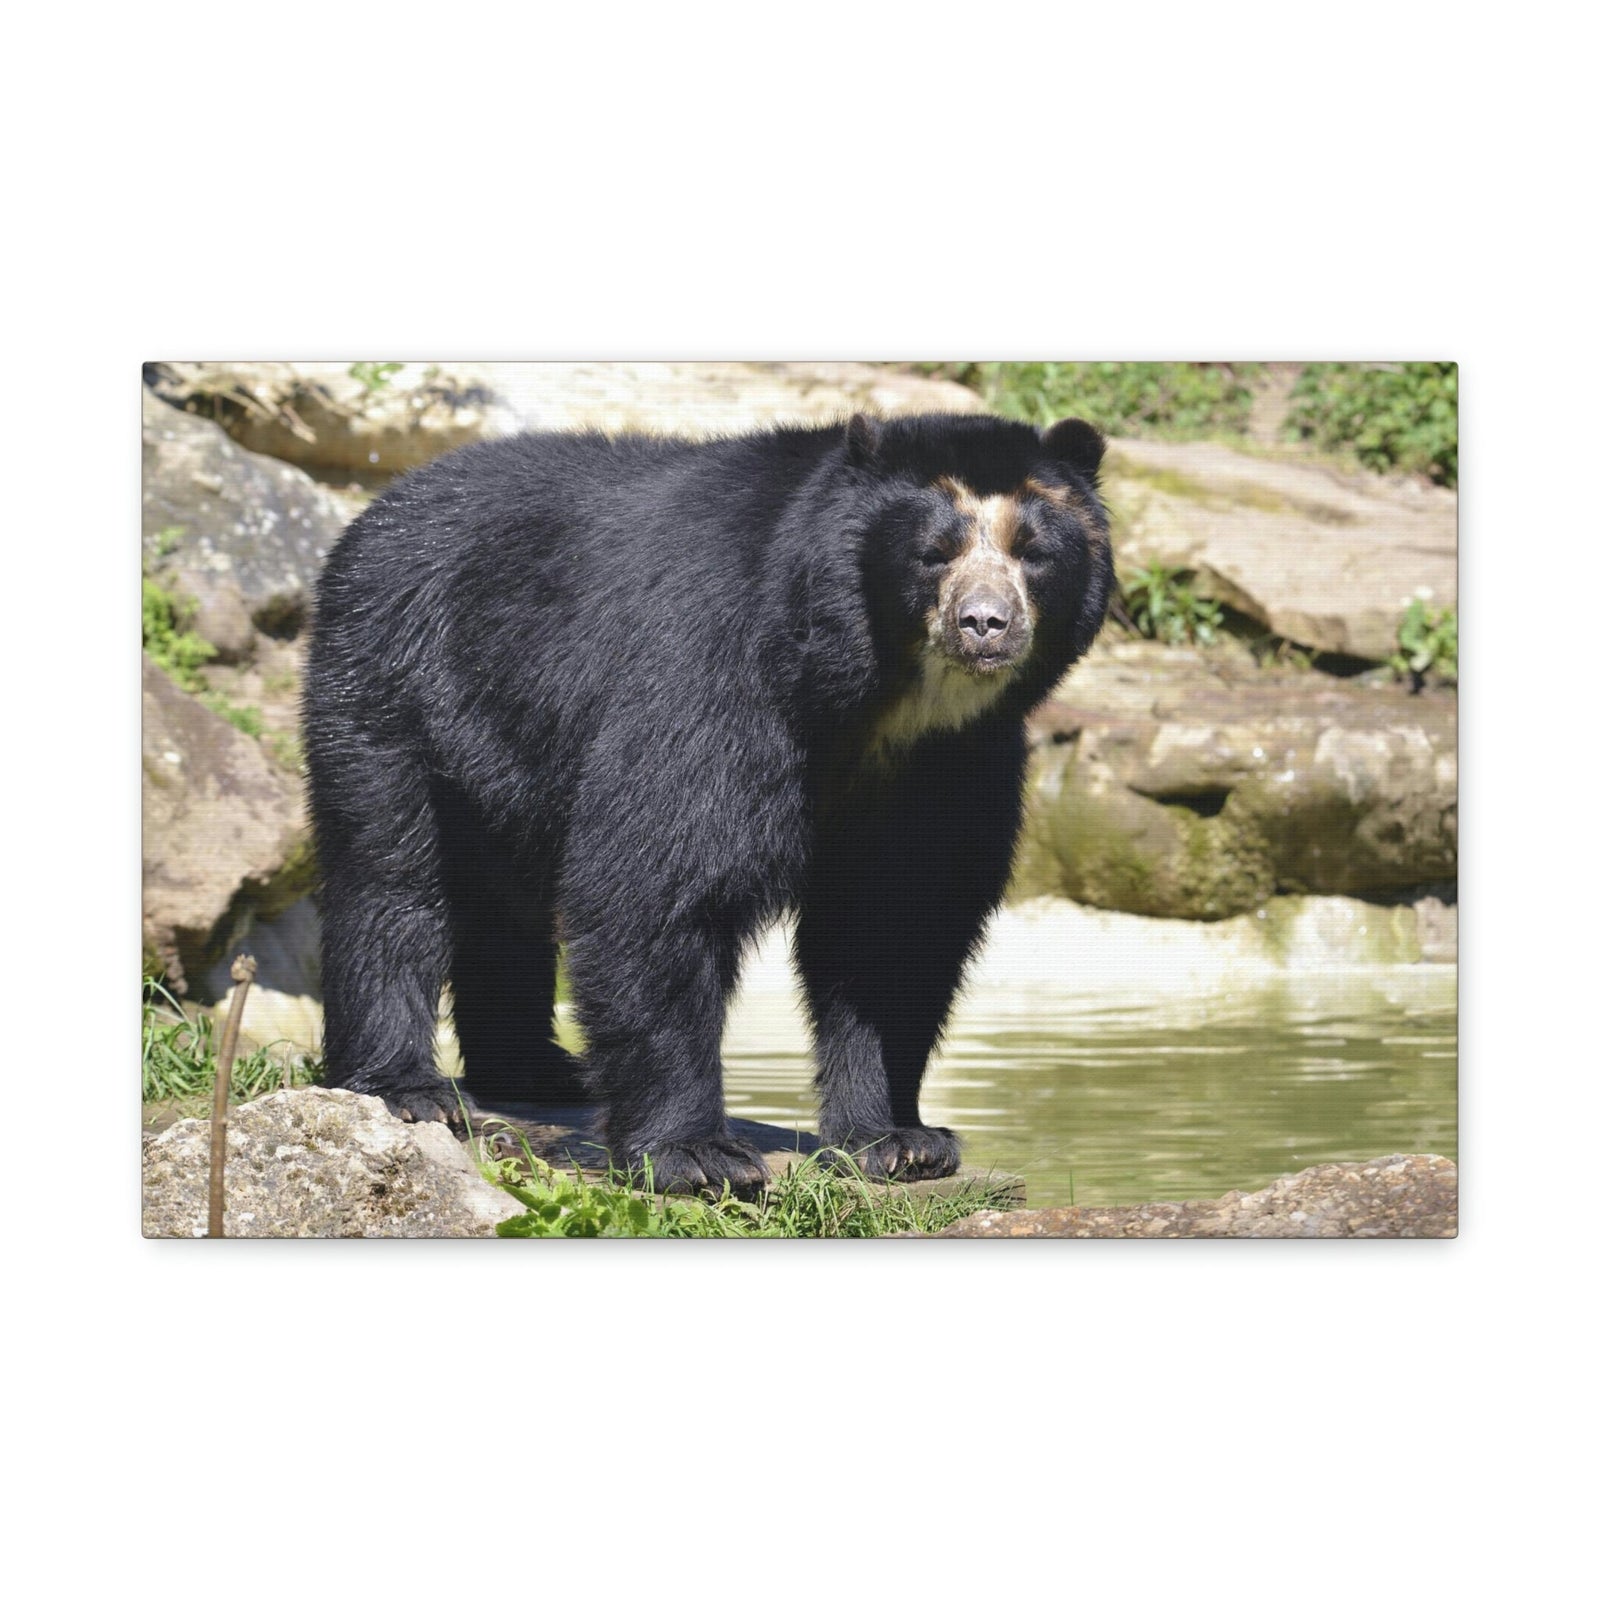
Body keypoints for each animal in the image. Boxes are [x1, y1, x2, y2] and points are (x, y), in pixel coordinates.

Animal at [303, 411, 1113, 1195]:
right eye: (933, 553)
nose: (985, 623)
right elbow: (660, 882)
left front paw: (900, 1141)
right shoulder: (715, 676)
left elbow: (899, 925)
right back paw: (411, 1088)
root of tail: (382, 506)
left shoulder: (953, 763)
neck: (882, 703)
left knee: (504, 901)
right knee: (391, 877)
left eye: (1033, 552)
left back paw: (539, 1071)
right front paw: (698, 1156)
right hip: (397, 682)